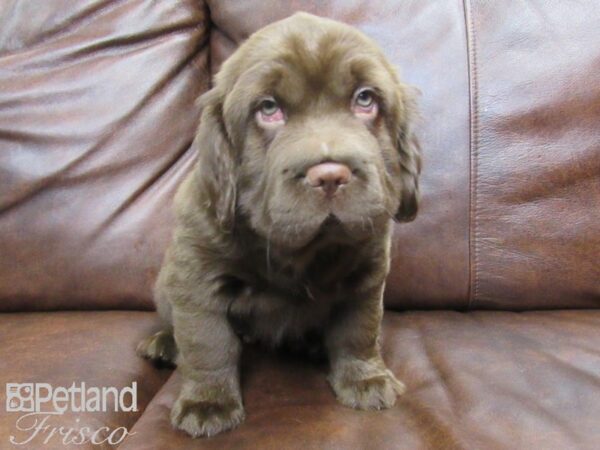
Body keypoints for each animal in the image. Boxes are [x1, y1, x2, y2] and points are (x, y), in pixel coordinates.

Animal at [137, 12, 420, 438]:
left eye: (365, 99)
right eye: (268, 108)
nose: (331, 175)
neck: (298, 251)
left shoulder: (367, 271)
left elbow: (359, 328)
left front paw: (365, 380)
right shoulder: (197, 275)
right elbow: (207, 341)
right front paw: (208, 404)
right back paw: (165, 345)